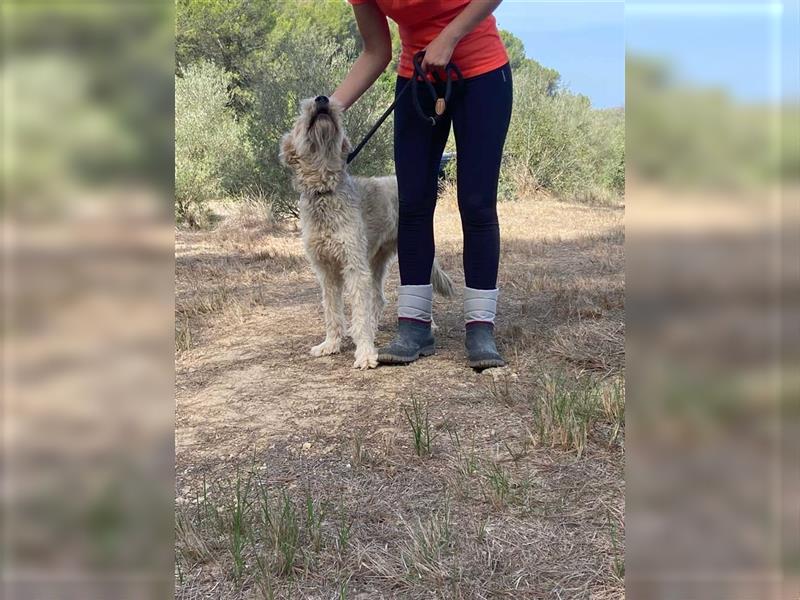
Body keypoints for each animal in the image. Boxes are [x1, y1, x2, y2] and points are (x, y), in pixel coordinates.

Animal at [280, 97, 454, 370]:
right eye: (302, 112)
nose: (323, 99)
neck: (325, 192)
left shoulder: (354, 266)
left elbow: (359, 312)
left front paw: (364, 353)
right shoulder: (326, 270)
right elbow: (332, 311)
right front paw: (331, 344)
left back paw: (428, 325)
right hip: (375, 261)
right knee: (379, 299)